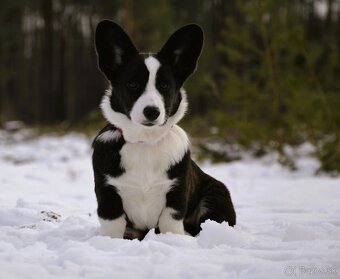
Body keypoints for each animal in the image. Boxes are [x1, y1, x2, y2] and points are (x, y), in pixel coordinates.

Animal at [93, 20, 236, 241]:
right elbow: (113, 225)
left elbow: (170, 222)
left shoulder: (176, 192)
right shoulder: (107, 192)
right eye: (132, 84)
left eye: (164, 86)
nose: (152, 112)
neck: (145, 142)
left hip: (216, 194)